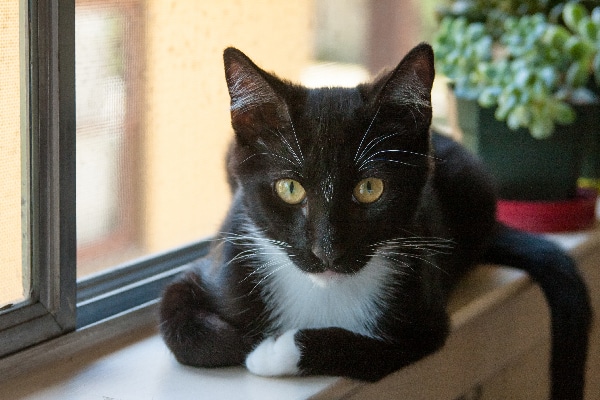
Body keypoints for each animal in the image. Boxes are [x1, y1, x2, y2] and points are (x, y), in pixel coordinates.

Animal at [158, 43, 592, 400]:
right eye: (289, 188)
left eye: (370, 188)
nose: (327, 251)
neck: (323, 292)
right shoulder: (219, 261)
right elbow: (178, 323)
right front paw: (248, 342)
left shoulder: (426, 321)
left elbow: (373, 352)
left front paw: (273, 351)